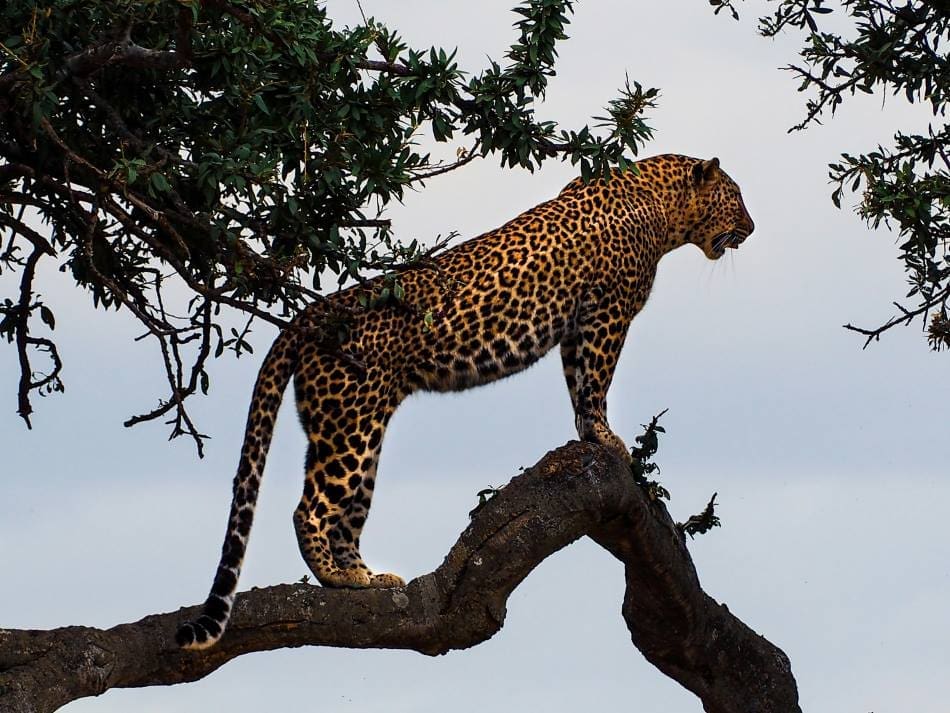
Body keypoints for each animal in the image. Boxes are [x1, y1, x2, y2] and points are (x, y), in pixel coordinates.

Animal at [175, 153, 755, 650]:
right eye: (736, 198)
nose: (751, 229)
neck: (663, 206)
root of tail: (315, 312)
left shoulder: (576, 328)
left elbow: (577, 384)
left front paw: (590, 435)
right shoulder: (606, 314)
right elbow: (596, 382)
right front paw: (608, 439)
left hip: (351, 429)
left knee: (345, 510)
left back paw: (365, 578)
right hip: (351, 427)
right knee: (309, 509)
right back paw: (338, 578)